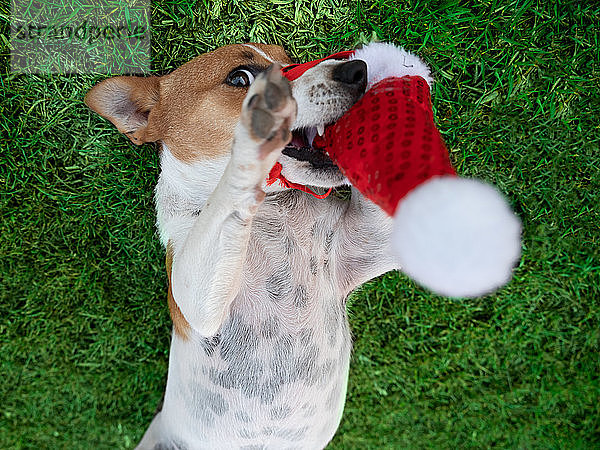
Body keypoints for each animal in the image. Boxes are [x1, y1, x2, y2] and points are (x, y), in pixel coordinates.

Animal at [85, 43, 432, 450]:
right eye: (240, 78)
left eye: (290, 58)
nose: (355, 71)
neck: (269, 210)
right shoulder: (191, 293)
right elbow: (224, 197)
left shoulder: (367, 240)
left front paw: (395, 68)